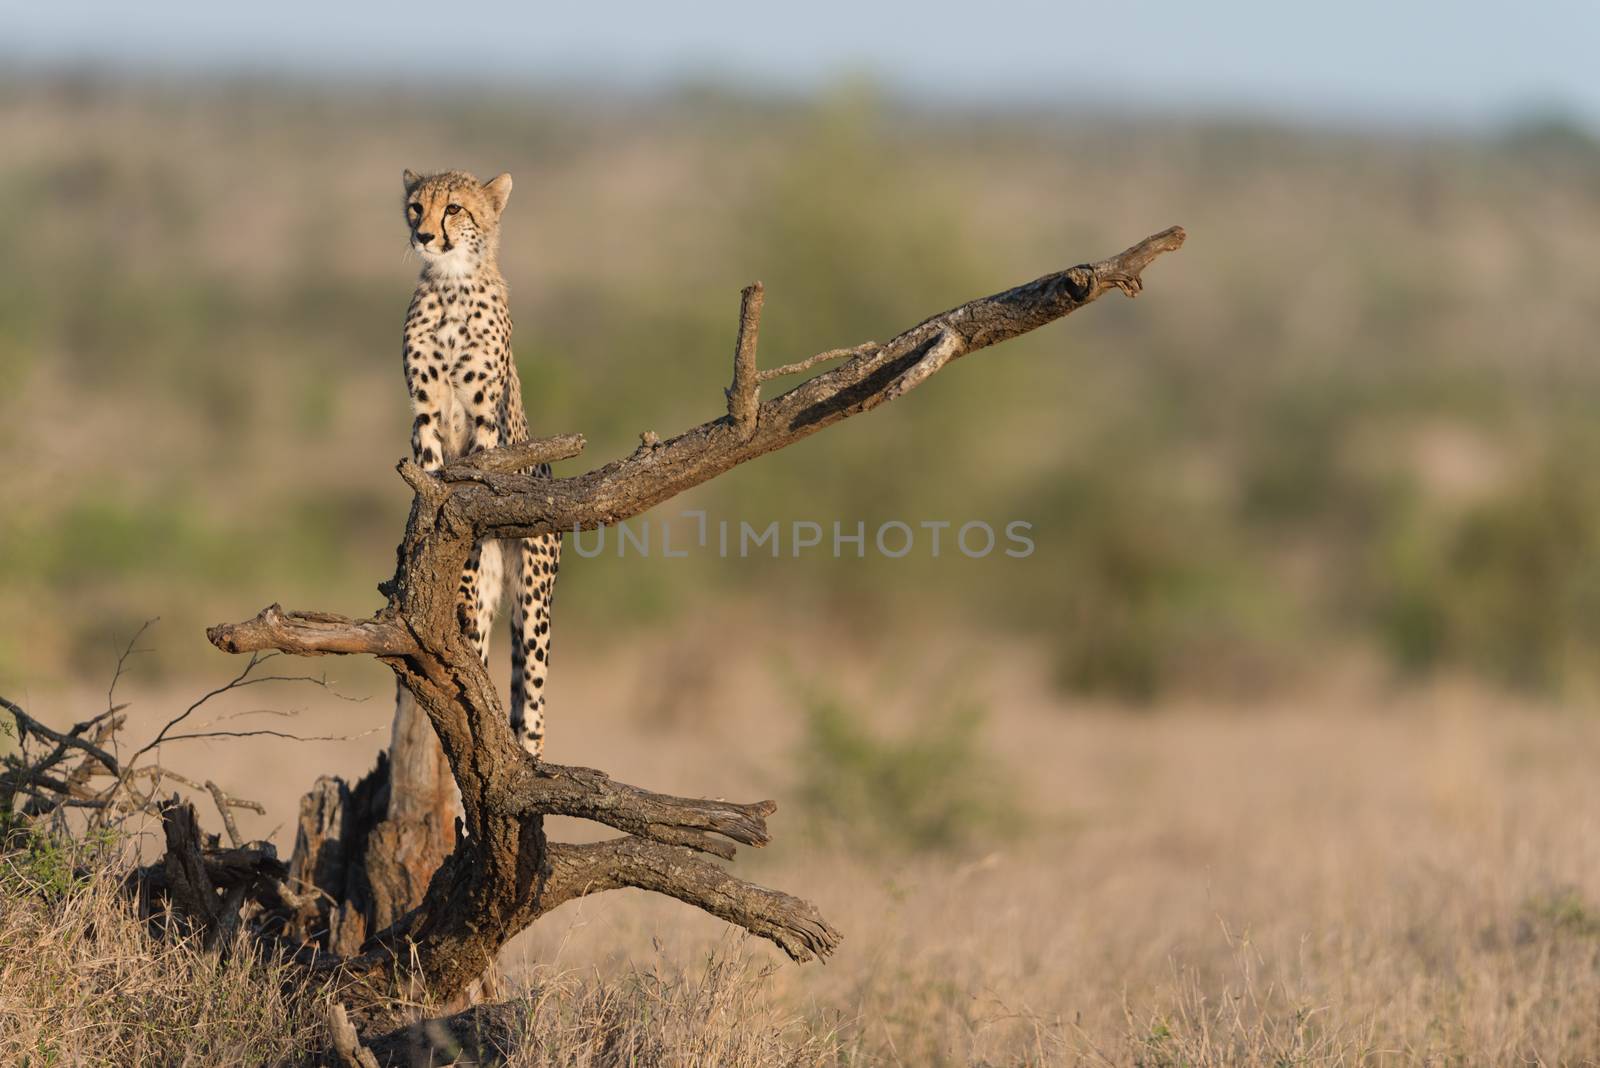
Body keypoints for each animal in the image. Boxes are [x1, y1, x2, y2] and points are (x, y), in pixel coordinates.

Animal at [403, 168, 560, 757]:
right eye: (416, 206)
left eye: (454, 209)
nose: (423, 234)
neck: (451, 286)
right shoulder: (424, 416)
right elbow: (432, 490)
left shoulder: (484, 421)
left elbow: (468, 492)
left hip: (533, 598)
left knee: (532, 704)